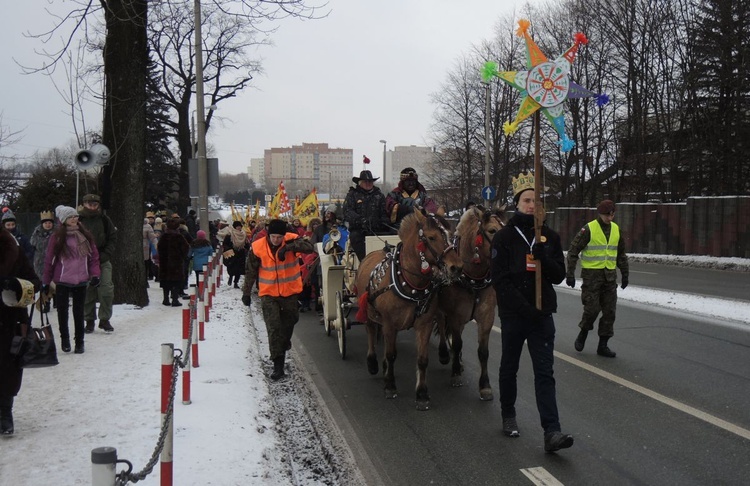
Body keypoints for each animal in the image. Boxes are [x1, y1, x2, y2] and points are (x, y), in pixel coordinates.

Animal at [354, 208, 464, 410]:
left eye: (451, 235)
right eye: (432, 237)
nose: (457, 267)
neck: (409, 281)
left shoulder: (424, 324)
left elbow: (422, 359)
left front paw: (422, 394)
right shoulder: (389, 324)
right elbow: (391, 354)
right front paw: (390, 386)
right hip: (368, 312)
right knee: (371, 332)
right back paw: (373, 363)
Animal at [438, 204, 508, 398]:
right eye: (492, 230)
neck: (472, 278)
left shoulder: (486, 315)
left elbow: (483, 351)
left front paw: (485, 385)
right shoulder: (455, 315)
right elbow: (457, 344)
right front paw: (455, 374)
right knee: (441, 325)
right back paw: (444, 354)